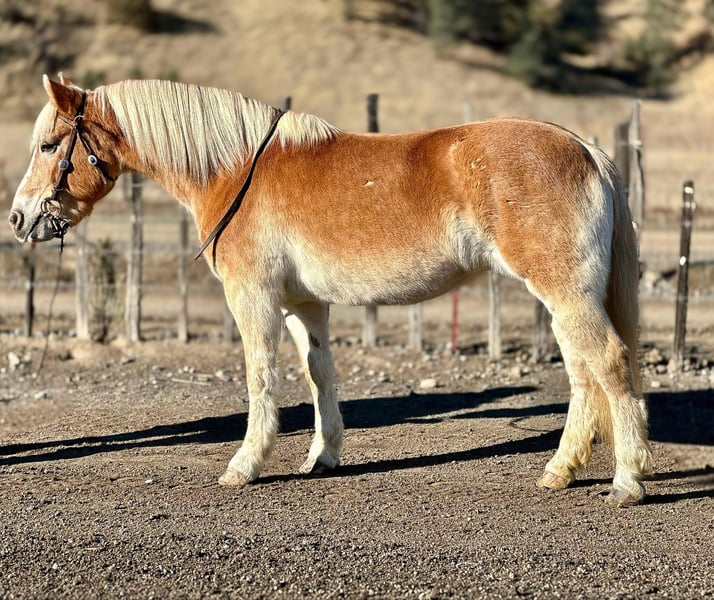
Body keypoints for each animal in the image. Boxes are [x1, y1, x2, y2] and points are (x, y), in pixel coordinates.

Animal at [9, 75, 653, 506]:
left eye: (48, 146)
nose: (19, 218)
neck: (235, 169)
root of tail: (585, 149)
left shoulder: (253, 297)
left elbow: (260, 376)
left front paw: (245, 464)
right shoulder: (302, 304)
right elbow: (321, 375)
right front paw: (323, 457)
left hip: (565, 292)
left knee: (608, 362)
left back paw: (628, 479)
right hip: (563, 298)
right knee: (582, 375)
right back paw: (561, 471)